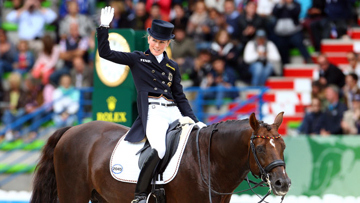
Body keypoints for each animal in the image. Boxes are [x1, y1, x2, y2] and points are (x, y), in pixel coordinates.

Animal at [30, 112, 290, 203]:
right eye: (260, 149)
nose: (283, 183)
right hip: (73, 194)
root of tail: (71, 130)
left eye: (283, 146)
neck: (207, 163)